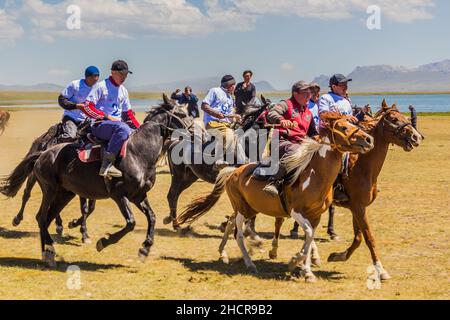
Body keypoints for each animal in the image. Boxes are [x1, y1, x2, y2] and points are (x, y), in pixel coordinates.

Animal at [0, 95, 192, 268]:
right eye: (182, 114)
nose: (193, 131)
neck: (138, 152)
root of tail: (43, 154)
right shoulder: (119, 195)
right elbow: (130, 222)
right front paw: (103, 242)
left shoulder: (138, 195)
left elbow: (152, 217)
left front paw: (144, 249)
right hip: (50, 190)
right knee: (39, 214)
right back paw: (43, 245)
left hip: (65, 194)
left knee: (46, 219)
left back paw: (47, 253)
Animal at [174, 111, 374, 282]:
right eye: (344, 127)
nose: (368, 139)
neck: (314, 175)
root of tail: (232, 172)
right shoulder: (296, 212)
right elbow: (308, 235)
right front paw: (295, 261)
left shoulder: (315, 215)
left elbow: (309, 238)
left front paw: (306, 270)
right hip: (242, 209)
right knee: (238, 234)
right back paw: (250, 263)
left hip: (248, 208)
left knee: (230, 223)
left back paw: (223, 253)